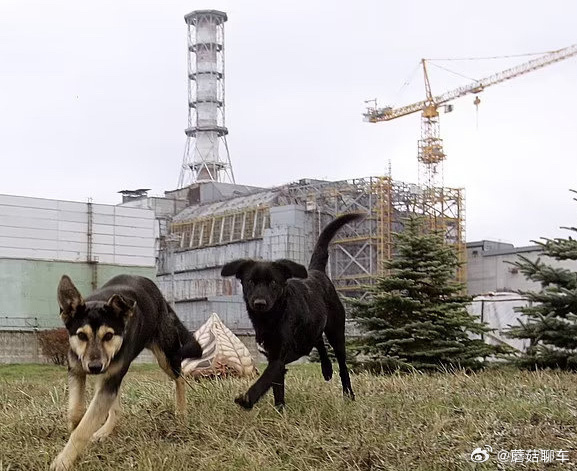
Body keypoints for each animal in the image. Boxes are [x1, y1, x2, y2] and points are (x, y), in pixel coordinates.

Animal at [50, 274, 202, 471]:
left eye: (108, 336)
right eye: (82, 336)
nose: (94, 367)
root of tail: (161, 299)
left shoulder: (109, 377)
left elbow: (84, 428)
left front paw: (64, 460)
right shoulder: (77, 370)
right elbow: (76, 411)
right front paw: (74, 430)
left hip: (165, 357)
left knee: (180, 377)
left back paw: (181, 412)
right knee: (116, 409)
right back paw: (104, 431)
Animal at [219, 214, 360, 410]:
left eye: (273, 282)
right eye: (250, 282)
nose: (259, 303)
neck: (271, 318)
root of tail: (316, 271)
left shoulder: (278, 357)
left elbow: (265, 378)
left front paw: (247, 399)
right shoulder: (272, 356)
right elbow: (277, 387)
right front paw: (280, 409)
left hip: (336, 331)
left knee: (342, 364)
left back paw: (348, 394)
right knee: (317, 341)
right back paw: (326, 369)